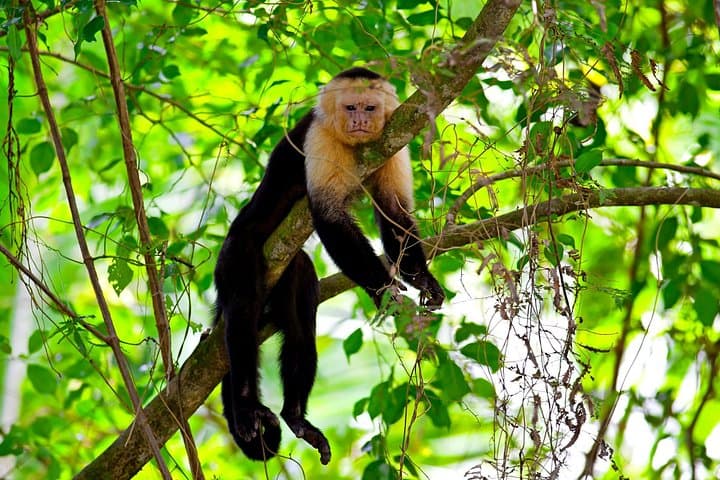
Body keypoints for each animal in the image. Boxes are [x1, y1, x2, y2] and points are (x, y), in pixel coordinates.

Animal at [213, 66, 444, 465]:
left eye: (370, 107)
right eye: (350, 107)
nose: (359, 121)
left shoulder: (392, 141)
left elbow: (394, 212)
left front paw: (422, 278)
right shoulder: (318, 136)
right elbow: (329, 215)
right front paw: (383, 288)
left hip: (290, 270)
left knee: (301, 319)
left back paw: (295, 417)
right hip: (234, 256)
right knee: (241, 310)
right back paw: (245, 409)